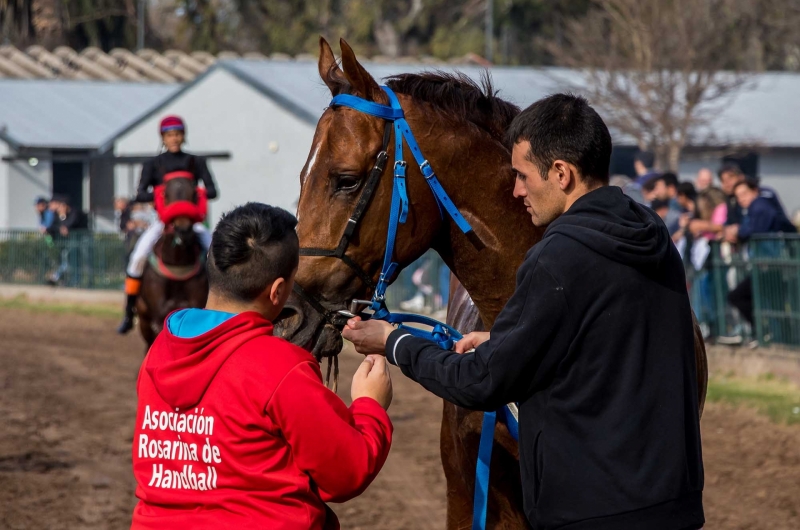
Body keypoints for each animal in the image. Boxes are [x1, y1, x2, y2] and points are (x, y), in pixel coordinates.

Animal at [137, 175, 209, 344]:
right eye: (165, 194)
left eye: (194, 194)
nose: (183, 230)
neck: (178, 264)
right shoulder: (159, 317)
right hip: (143, 318)